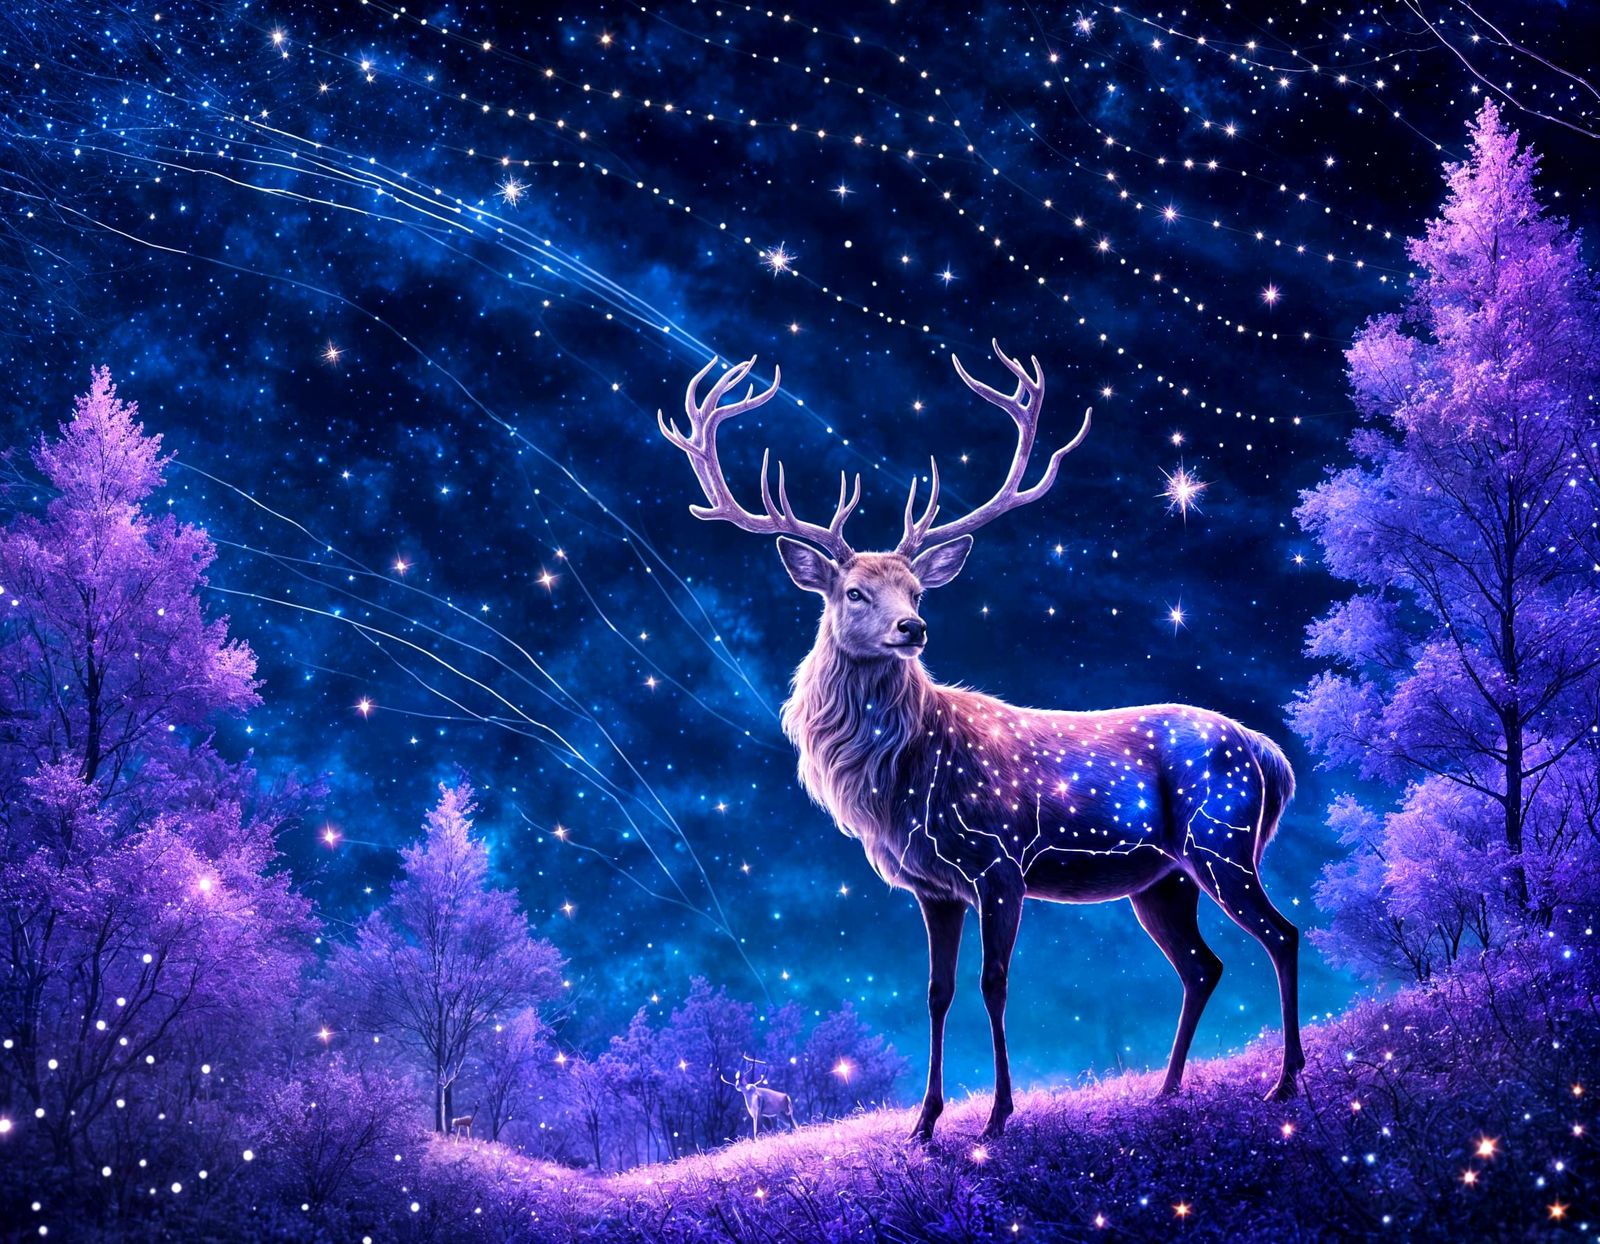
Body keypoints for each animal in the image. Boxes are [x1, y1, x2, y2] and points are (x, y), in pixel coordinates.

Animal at [660, 342, 1304, 1144]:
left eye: (917, 590)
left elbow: (994, 985)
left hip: (1223, 838)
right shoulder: (934, 887)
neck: (902, 783)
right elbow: (937, 993)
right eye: (855, 593)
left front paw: (996, 1117)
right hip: (1163, 878)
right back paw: (1167, 1090)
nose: (914, 628)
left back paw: (1284, 1082)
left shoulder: (1001, 861)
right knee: (1201, 965)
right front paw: (925, 1125)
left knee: (1283, 935)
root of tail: (1264, 749)